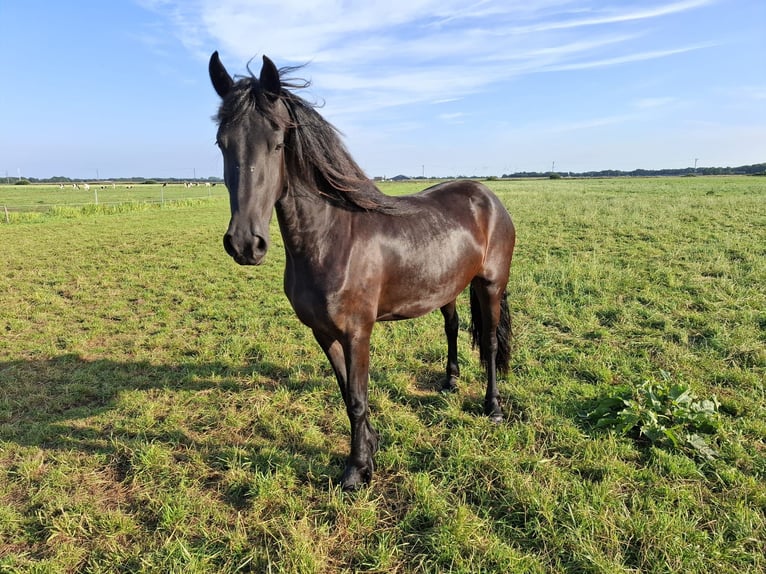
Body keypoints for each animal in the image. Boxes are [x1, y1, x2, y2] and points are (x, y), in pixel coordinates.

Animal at [209, 52, 516, 490]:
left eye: (278, 142)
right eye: (222, 143)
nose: (245, 245)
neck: (333, 238)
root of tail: (487, 196)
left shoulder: (358, 333)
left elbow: (356, 397)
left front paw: (356, 469)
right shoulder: (323, 333)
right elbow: (348, 394)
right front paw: (370, 447)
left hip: (490, 284)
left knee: (489, 342)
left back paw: (493, 407)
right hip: (448, 288)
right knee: (452, 328)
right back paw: (449, 382)